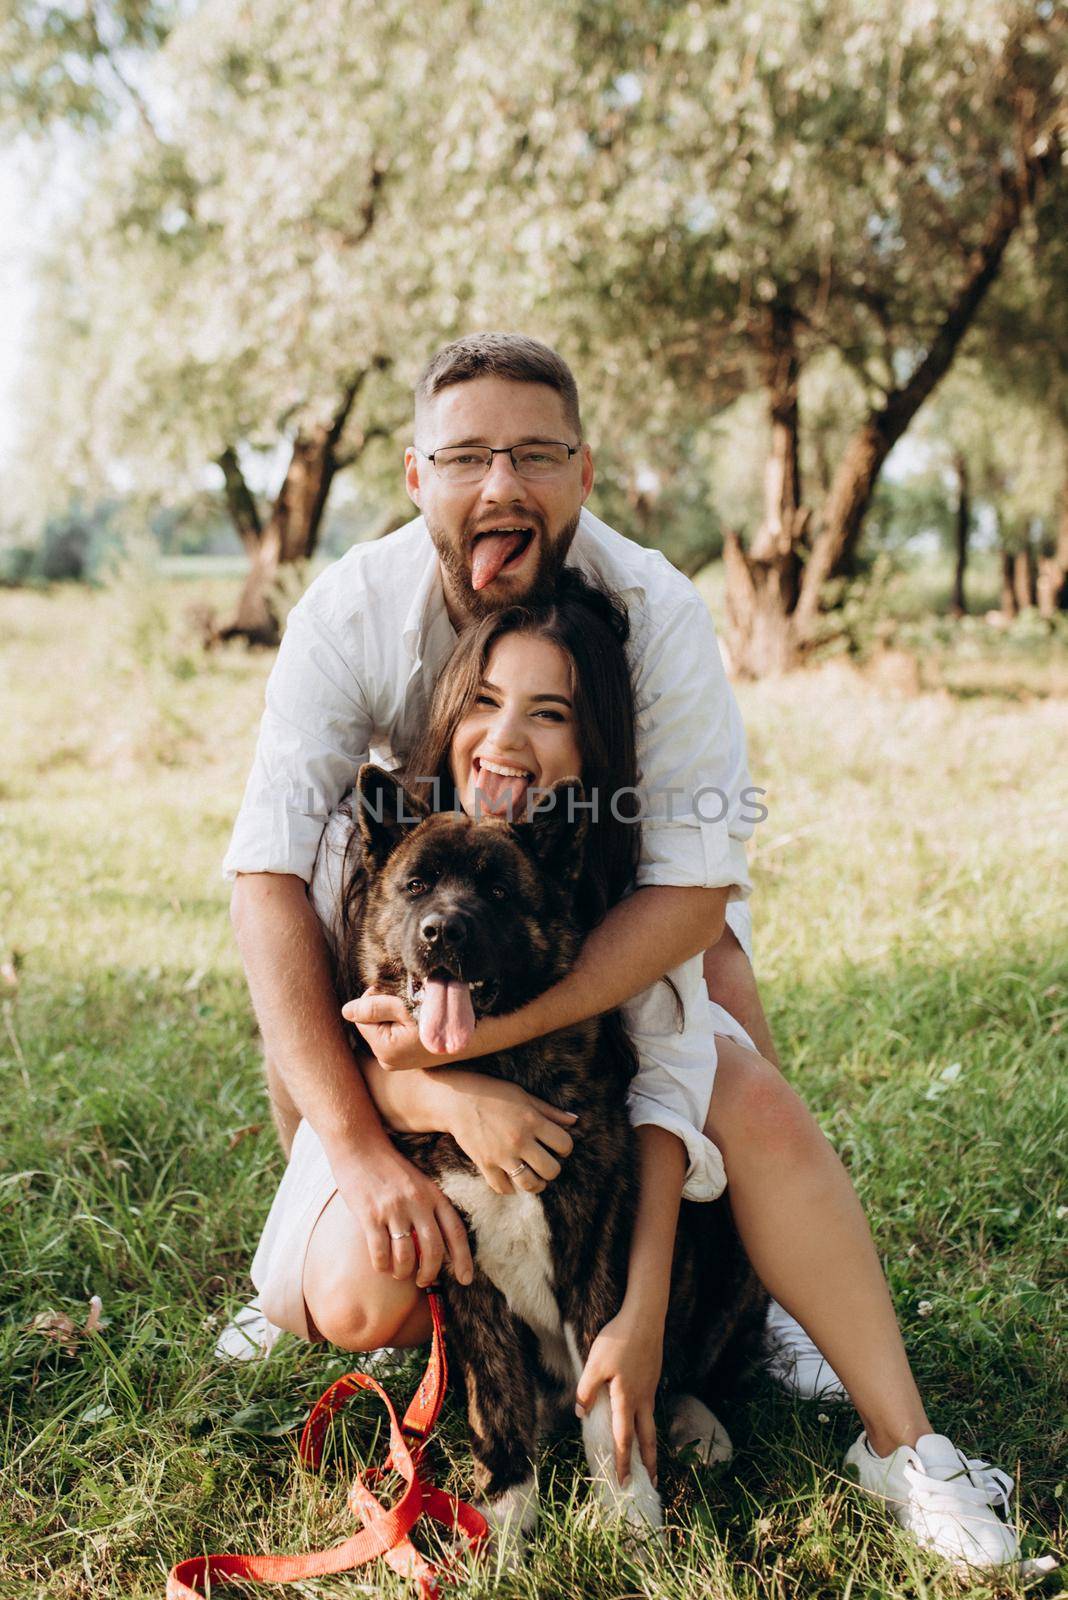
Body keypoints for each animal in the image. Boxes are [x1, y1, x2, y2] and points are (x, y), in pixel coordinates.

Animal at [337, 768, 764, 1555]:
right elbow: (496, 1400)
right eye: (416, 885)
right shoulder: (463, 1271)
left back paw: (696, 1423)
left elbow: (611, 1395)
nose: (443, 931)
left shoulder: (592, 1255)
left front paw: (629, 1514)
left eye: (499, 891)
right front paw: (505, 1516)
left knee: (691, 1373)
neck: (490, 1073)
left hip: (728, 1257)